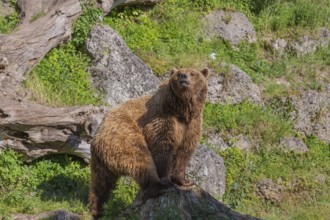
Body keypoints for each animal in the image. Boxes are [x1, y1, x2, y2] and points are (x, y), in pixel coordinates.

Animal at [89, 67, 210, 218]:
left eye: (192, 73)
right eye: (178, 73)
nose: (183, 76)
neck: (182, 110)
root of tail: (98, 134)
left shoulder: (191, 125)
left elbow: (184, 153)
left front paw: (186, 181)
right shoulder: (162, 118)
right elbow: (162, 148)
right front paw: (167, 180)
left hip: (101, 159)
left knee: (101, 183)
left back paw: (97, 209)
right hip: (122, 135)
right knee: (139, 159)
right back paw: (158, 186)